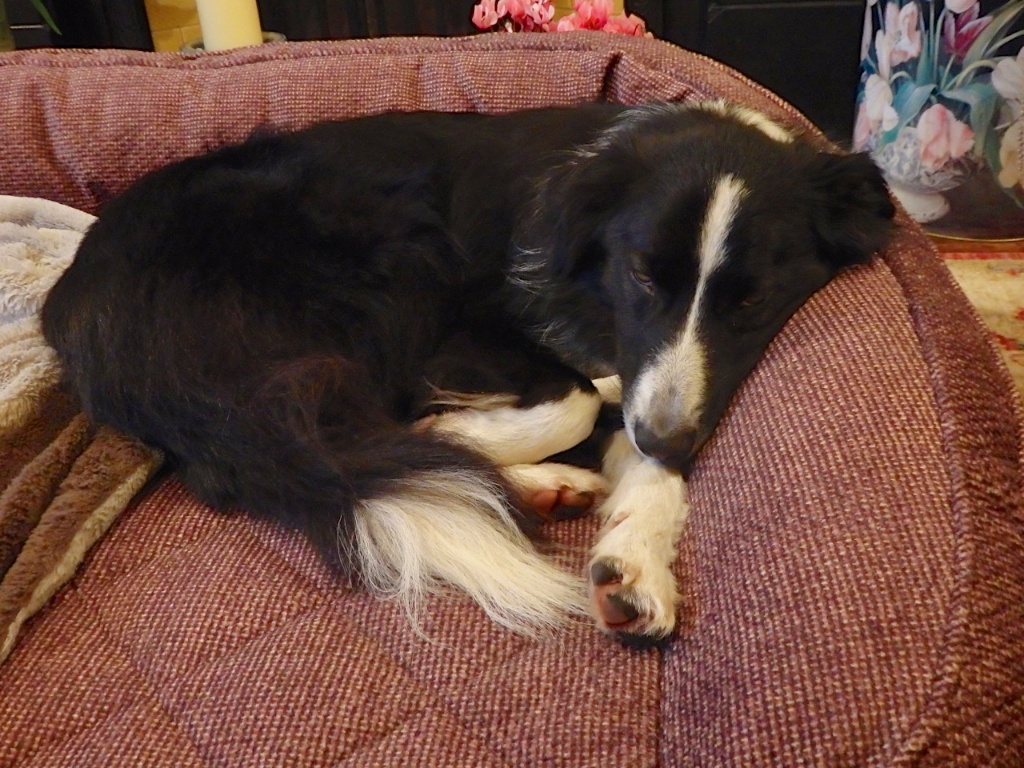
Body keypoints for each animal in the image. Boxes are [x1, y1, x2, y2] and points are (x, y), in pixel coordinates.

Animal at [39, 100, 892, 643]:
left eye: (755, 300)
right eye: (643, 276)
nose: (669, 438)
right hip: (384, 254)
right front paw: (464, 427)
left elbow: (644, 450)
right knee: (340, 437)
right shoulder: (465, 327)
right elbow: (574, 400)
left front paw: (636, 563)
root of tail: (80, 303)